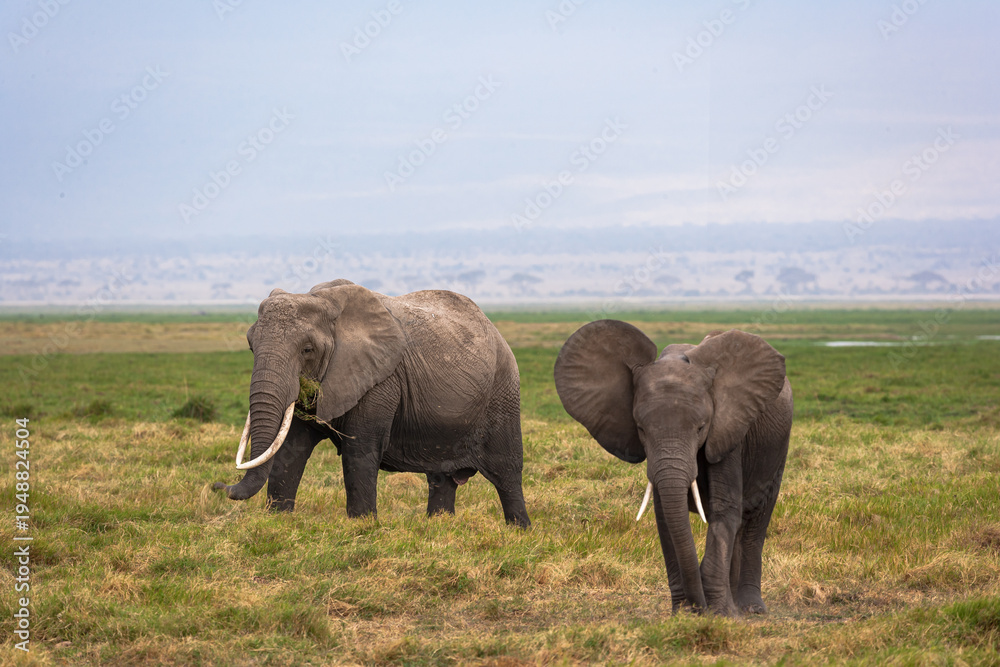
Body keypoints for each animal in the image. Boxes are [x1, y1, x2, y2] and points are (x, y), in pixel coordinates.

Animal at [212, 279, 530, 527]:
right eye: (250, 346)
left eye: (307, 350)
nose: (217, 486)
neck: (322, 299)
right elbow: (291, 447)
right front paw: (278, 520)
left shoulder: (380, 381)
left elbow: (360, 449)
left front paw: (362, 525)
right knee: (441, 477)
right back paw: (438, 527)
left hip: (502, 391)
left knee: (507, 471)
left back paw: (519, 531)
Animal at [554, 321, 792, 616]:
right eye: (641, 429)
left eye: (701, 427)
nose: (698, 607)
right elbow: (665, 516)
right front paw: (684, 612)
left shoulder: (728, 430)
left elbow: (725, 509)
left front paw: (720, 613)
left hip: (777, 449)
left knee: (755, 519)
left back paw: (750, 609)